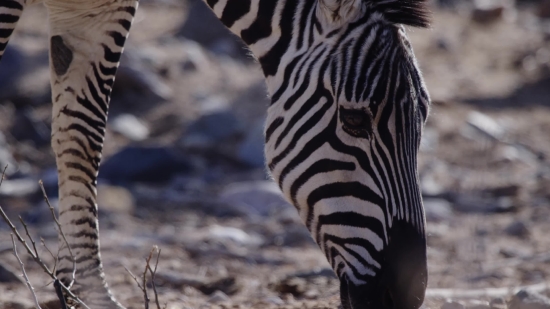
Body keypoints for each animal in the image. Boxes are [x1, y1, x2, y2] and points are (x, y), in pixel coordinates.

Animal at [0, 0, 432, 308]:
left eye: (425, 117)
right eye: (354, 120)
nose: (408, 295)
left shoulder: (98, 8)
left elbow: (82, 137)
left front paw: (88, 294)